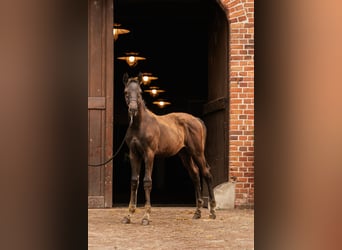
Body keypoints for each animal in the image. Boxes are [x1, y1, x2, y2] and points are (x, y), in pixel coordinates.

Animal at [121, 73, 215, 227]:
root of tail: (197, 120)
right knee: (195, 175)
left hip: (197, 152)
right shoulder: (134, 154)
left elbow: (147, 181)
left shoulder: (149, 154)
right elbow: (134, 181)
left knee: (206, 173)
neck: (139, 125)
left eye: (140, 92)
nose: (133, 109)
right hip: (185, 154)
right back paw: (197, 212)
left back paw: (212, 211)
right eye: (126, 92)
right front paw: (128, 215)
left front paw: (146, 216)